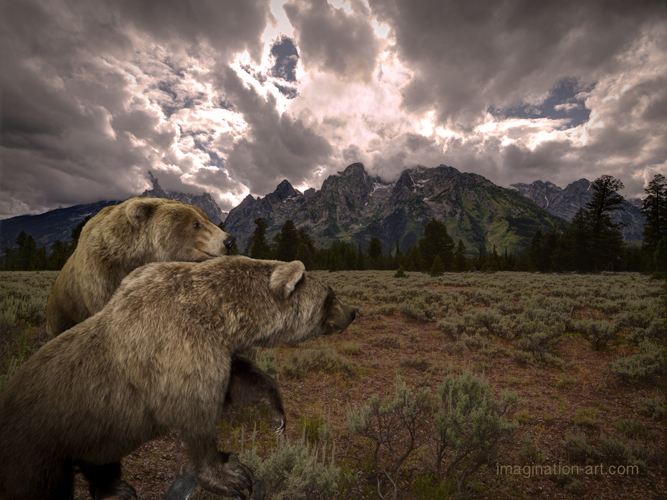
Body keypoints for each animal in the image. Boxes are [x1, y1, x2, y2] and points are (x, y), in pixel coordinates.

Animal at [0, 257, 356, 500]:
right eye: (331, 296)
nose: (352, 312)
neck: (221, 315)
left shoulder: (217, 351)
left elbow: (241, 382)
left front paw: (277, 414)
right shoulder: (179, 350)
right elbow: (196, 417)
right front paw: (232, 476)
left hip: (92, 432)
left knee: (100, 461)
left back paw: (117, 488)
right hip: (38, 444)